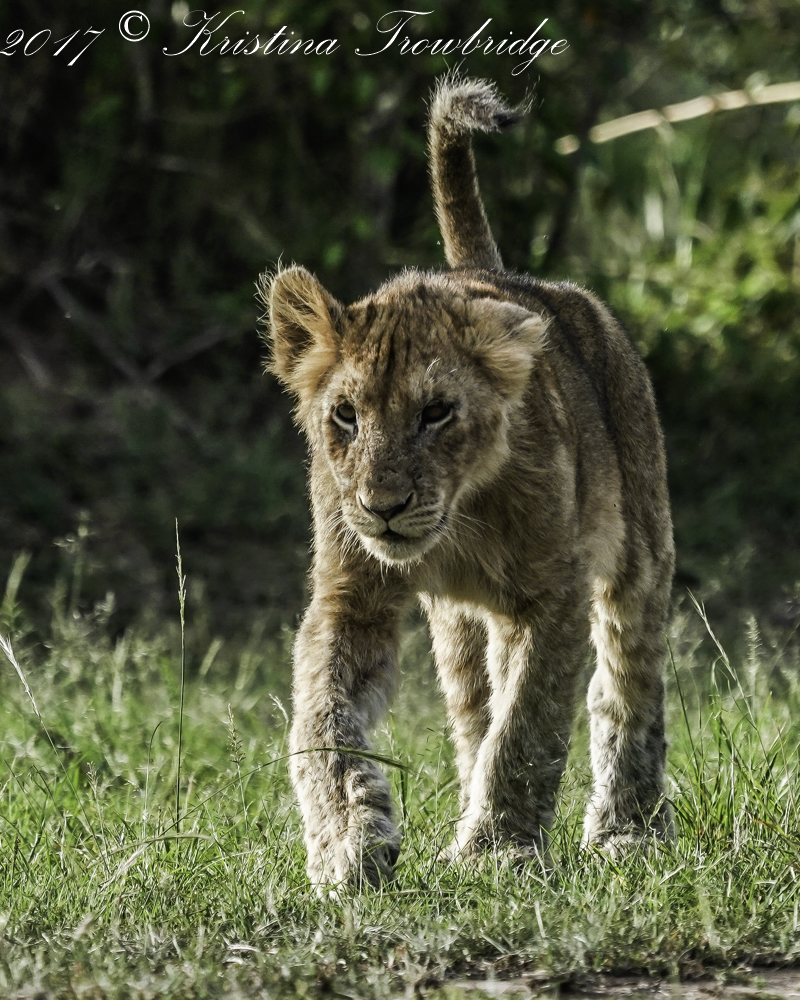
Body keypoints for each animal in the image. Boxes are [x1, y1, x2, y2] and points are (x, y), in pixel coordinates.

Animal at [260, 74, 675, 887]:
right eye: (347, 415)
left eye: (437, 412)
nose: (384, 508)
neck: (460, 520)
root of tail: (502, 275)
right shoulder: (351, 597)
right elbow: (324, 721)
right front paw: (349, 845)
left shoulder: (551, 595)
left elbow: (528, 728)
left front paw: (496, 851)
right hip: (455, 631)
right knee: (473, 709)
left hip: (639, 550)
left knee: (624, 684)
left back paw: (627, 831)